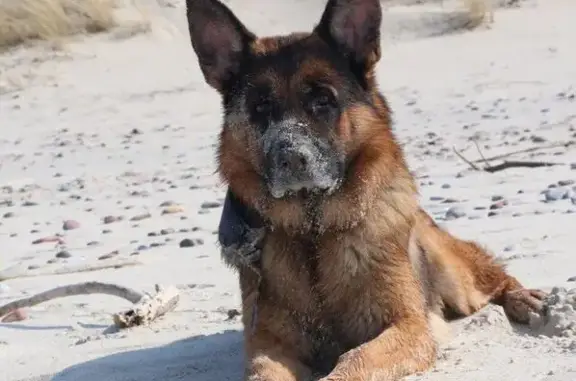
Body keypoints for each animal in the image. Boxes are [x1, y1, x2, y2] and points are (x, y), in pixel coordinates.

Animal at [187, 0, 548, 378]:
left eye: (323, 100)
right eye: (260, 106)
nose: (289, 157)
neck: (313, 233)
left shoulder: (407, 326)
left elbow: (354, 358)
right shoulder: (269, 345)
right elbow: (265, 371)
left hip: (456, 277)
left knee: (491, 277)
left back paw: (522, 298)